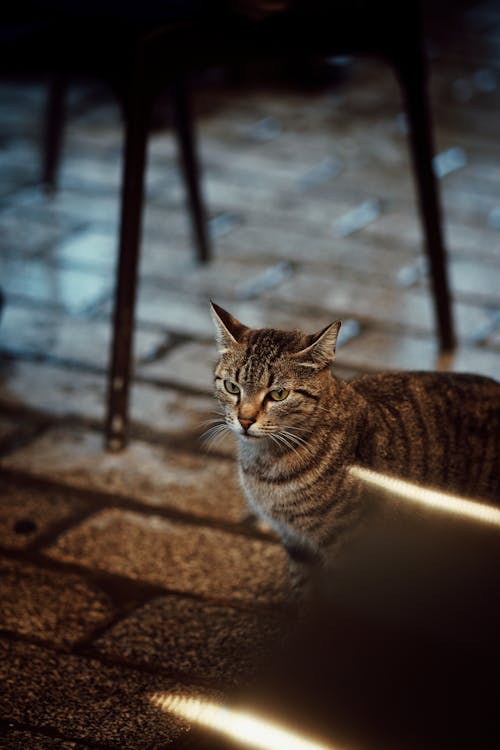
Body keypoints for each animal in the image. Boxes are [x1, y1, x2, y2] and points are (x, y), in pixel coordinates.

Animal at [209, 302, 500, 596]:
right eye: (232, 387)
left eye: (278, 394)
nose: (245, 420)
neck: (267, 466)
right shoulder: (295, 542)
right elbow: (305, 588)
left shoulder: (349, 546)